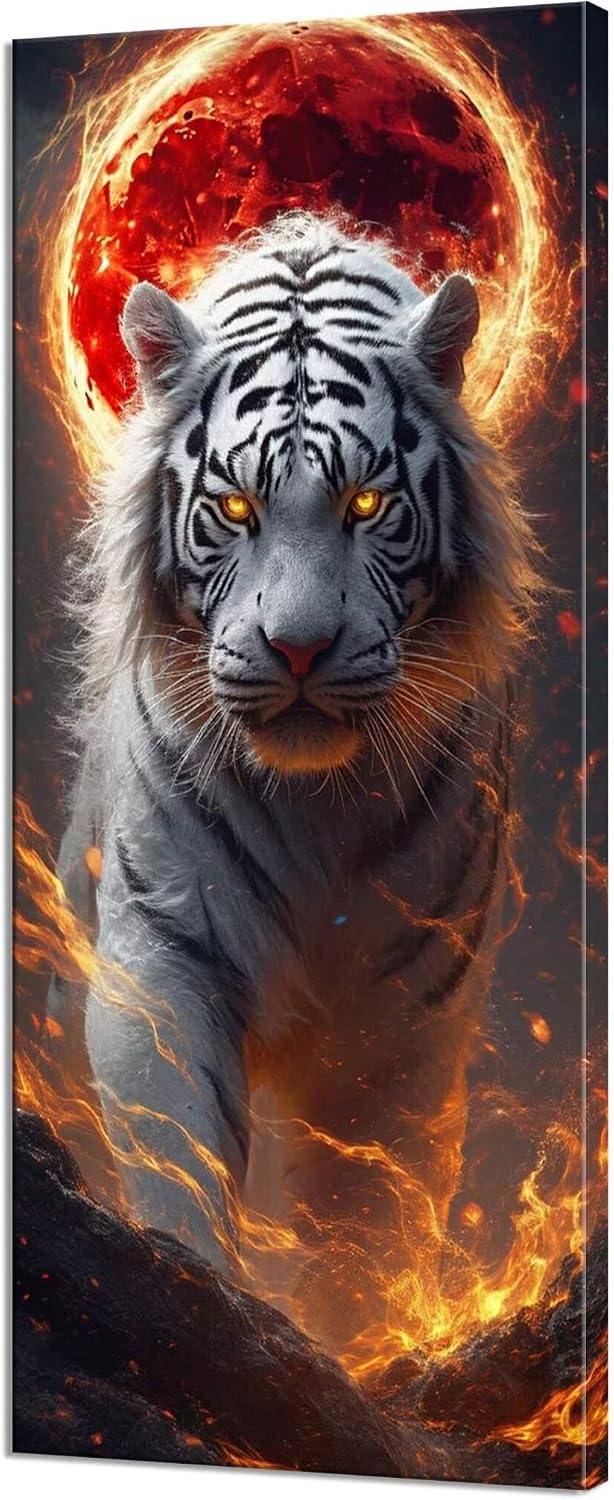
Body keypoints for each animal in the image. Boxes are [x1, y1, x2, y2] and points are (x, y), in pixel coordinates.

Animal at [47, 212, 538, 1350]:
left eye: (366, 501)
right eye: (234, 505)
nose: (300, 649)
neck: (317, 804)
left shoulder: (401, 1020)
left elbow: (365, 1228)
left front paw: (353, 1354)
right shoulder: (163, 952)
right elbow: (178, 1159)